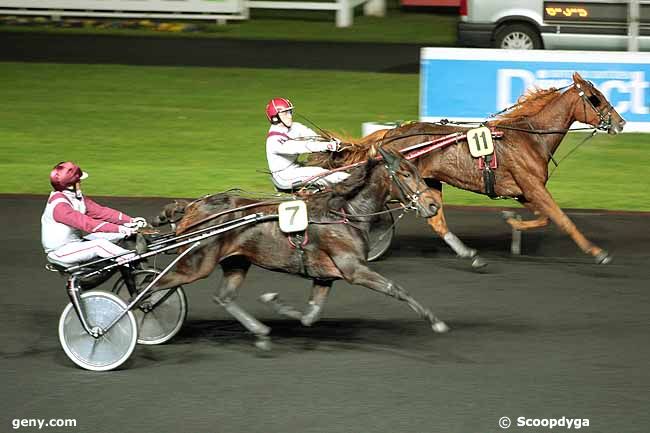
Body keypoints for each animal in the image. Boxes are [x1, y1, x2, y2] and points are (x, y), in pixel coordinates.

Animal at [152, 148, 446, 348]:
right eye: (406, 173)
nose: (433, 205)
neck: (345, 212)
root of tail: (192, 206)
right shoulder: (354, 270)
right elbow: (396, 289)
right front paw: (436, 321)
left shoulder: (325, 275)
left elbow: (310, 316)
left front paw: (276, 303)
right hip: (196, 263)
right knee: (156, 287)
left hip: (237, 261)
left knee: (224, 297)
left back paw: (260, 333)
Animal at [312, 72, 624, 264]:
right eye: (596, 98)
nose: (620, 122)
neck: (530, 137)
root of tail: (390, 134)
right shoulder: (532, 186)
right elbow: (561, 218)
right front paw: (597, 252)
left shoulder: (524, 191)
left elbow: (545, 217)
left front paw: (512, 222)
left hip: (428, 183)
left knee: (437, 220)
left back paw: (470, 254)